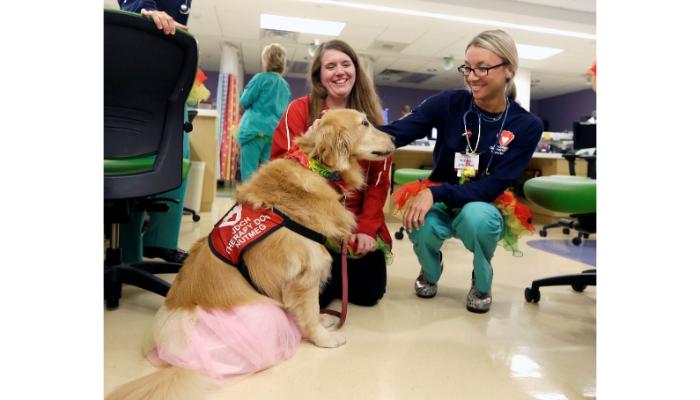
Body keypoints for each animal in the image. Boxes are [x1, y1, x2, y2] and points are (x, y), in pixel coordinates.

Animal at [107, 109, 396, 400]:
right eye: (365, 123)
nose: (394, 138)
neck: (315, 167)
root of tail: (181, 361)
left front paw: (325, 320)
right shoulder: (306, 274)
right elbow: (310, 310)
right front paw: (325, 338)